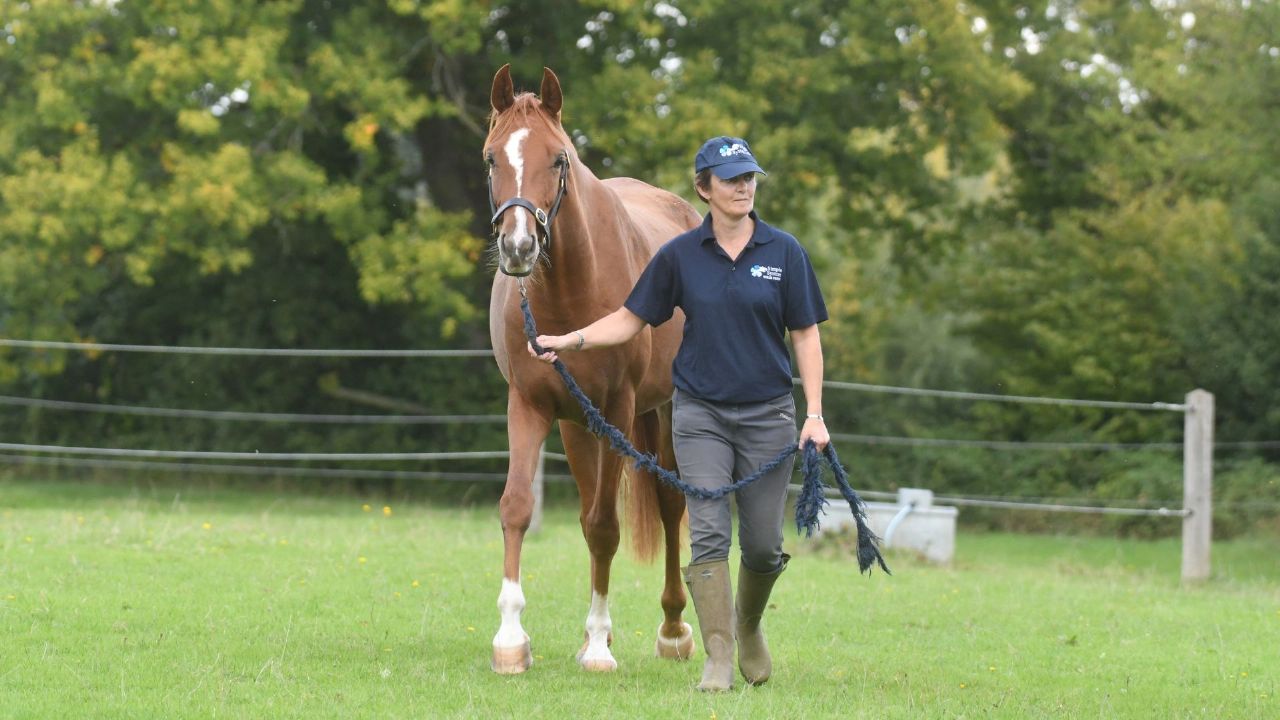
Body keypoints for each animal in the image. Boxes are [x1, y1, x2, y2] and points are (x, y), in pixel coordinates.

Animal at [485, 64, 702, 674]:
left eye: (558, 159)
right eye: (491, 158)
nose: (518, 247)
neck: (568, 291)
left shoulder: (619, 408)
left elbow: (607, 526)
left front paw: (602, 645)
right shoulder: (529, 405)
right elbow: (518, 508)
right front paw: (511, 639)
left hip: (657, 410)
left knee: (669, 504)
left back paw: (672, 630)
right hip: (578, 426)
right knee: (587, 511)